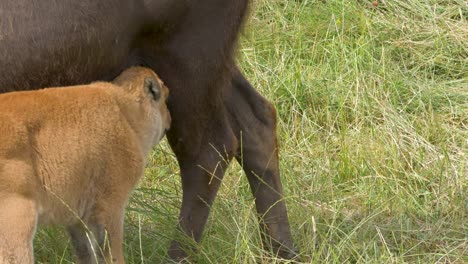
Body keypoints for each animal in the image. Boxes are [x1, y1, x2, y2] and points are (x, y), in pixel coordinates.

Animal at [0, 0, 298, 260]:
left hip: (188, 65)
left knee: (209, 152)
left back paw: (177, 257)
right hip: (212, 68)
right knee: (256, 121)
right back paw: (282, 251)